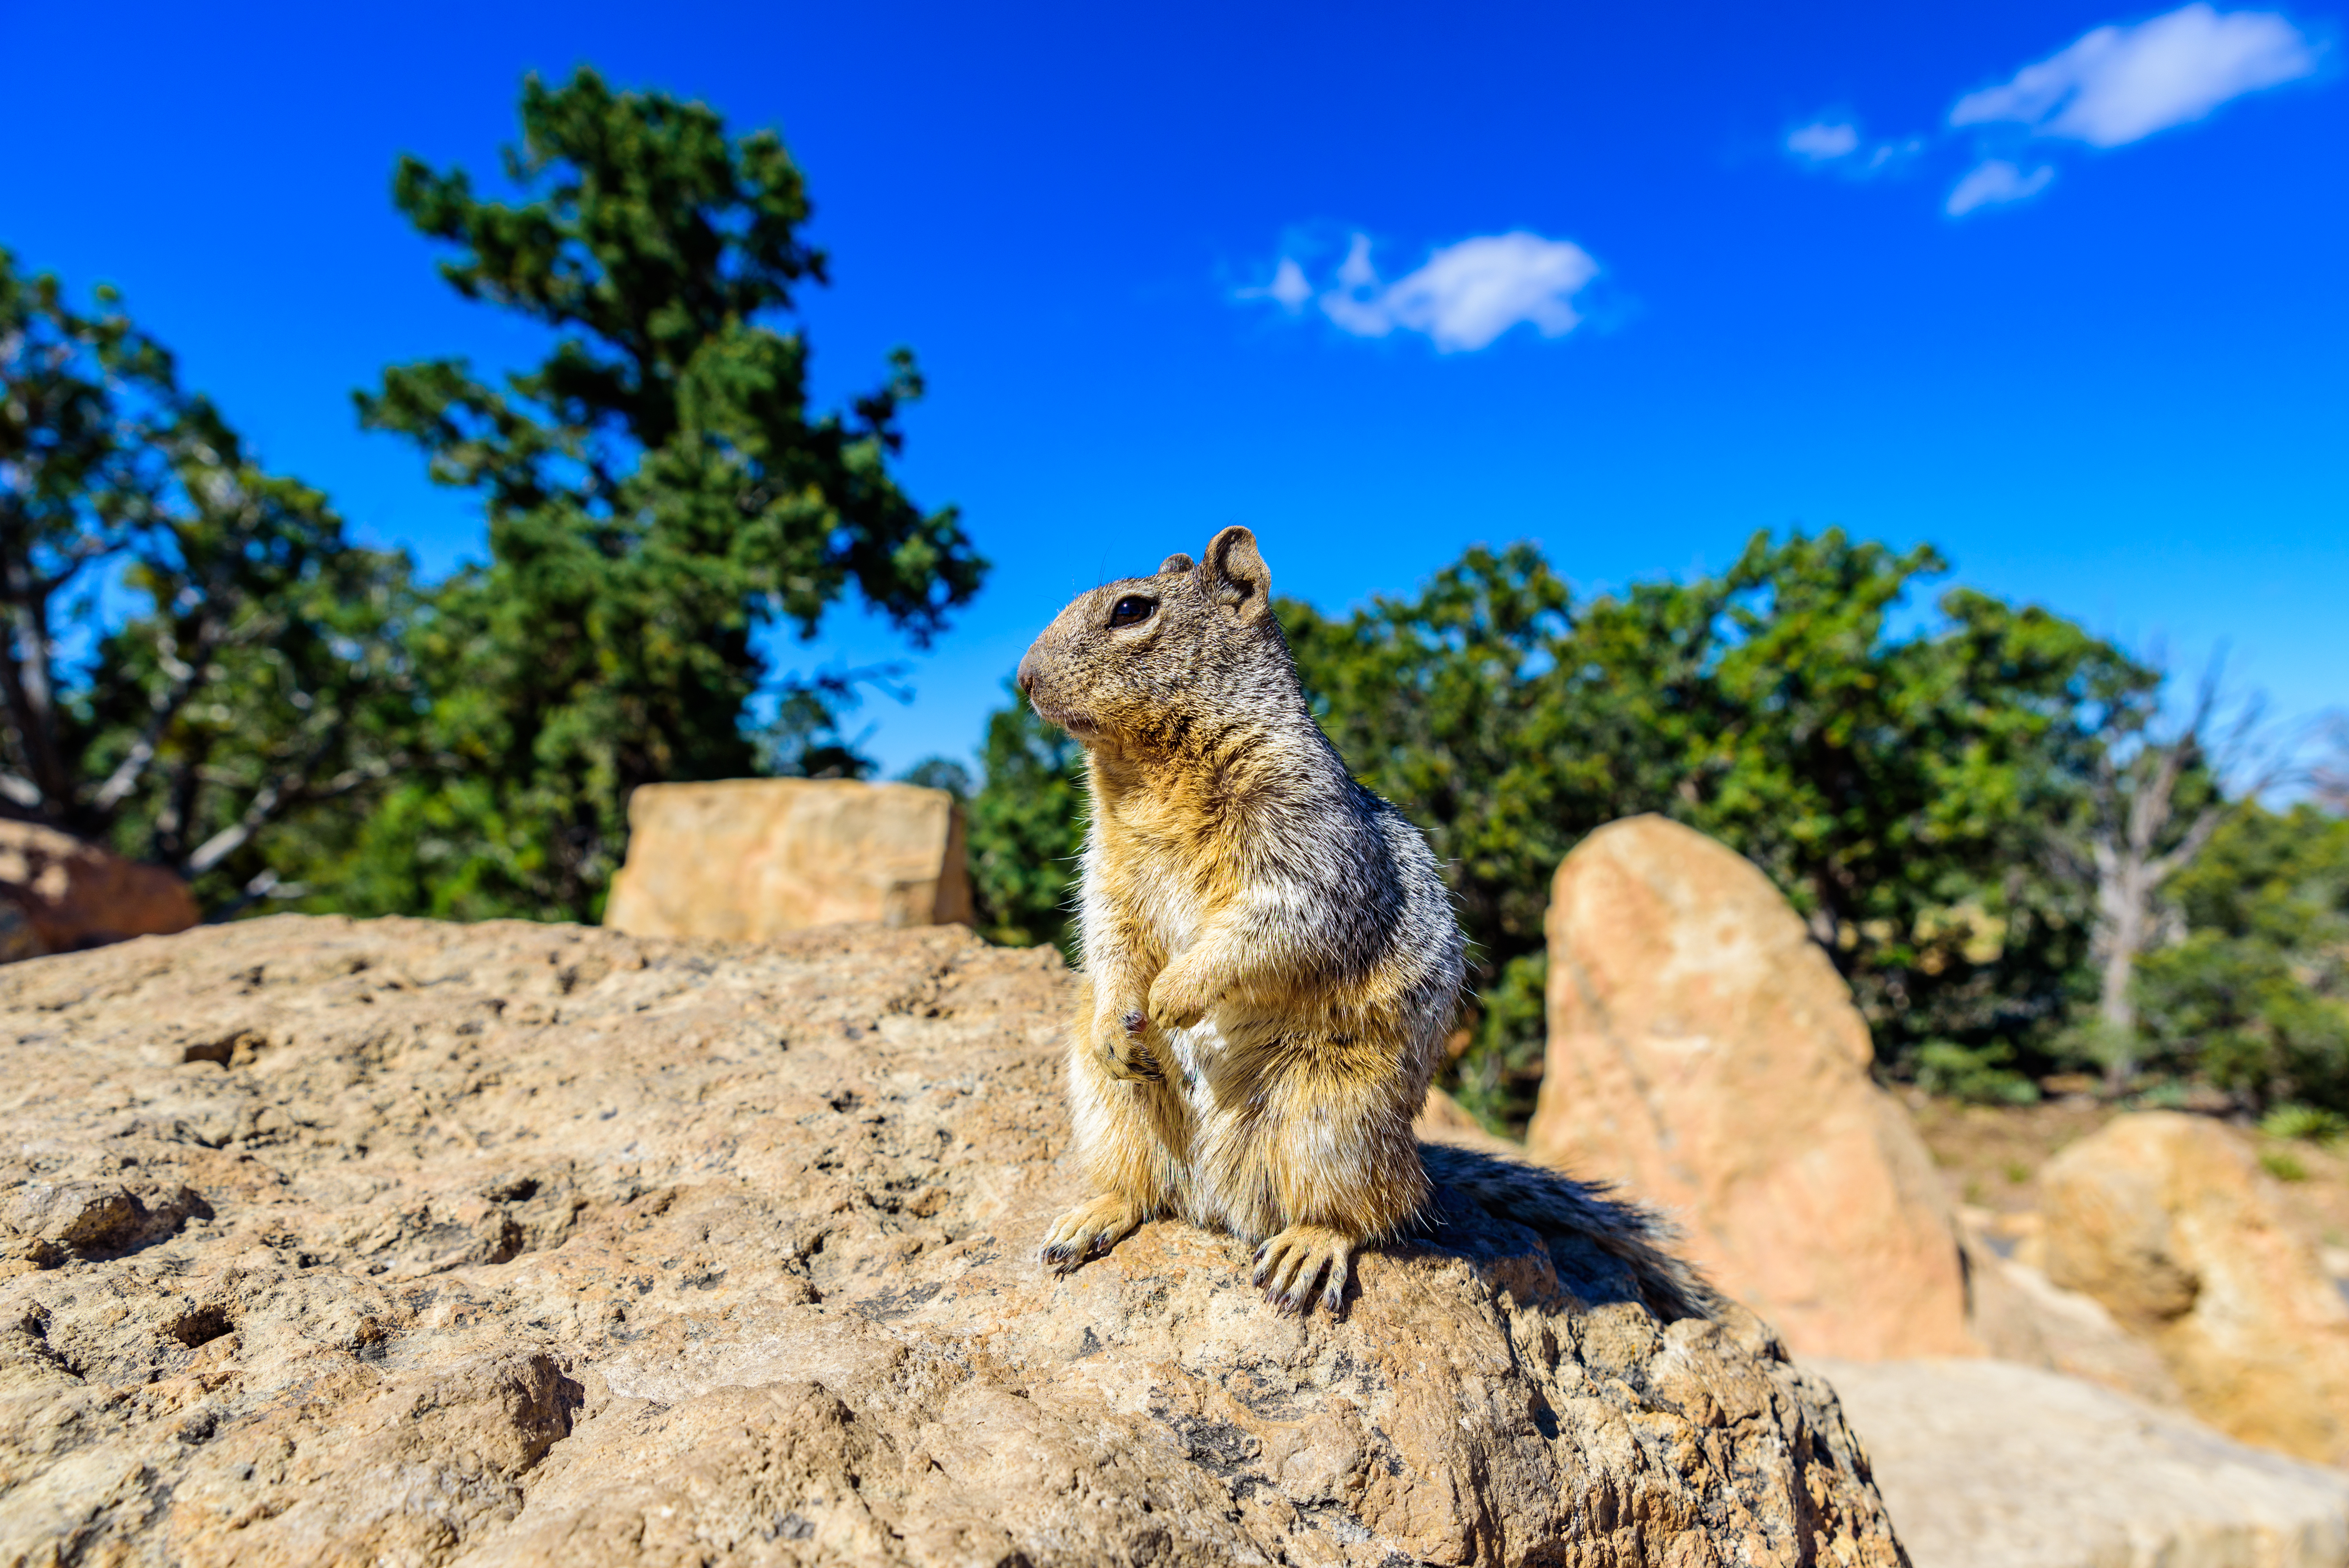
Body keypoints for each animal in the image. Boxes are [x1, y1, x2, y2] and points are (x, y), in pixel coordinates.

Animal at [1018, 526, 1709, 1320]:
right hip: (1111, 1107)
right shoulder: (1108, 866)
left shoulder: (1308, 839)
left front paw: (1173, 995)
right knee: (1145, 1188)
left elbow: (1278, 918)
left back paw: (1306, 1248)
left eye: (1133, 609)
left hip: (1329, 1120)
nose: (1023, 679)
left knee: (1368, 1213)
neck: (1146, 770)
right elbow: (1108, 933)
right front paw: (1122, 1018)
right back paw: (1090, 1216)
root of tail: (1215, 1200)